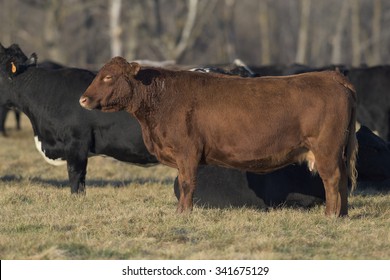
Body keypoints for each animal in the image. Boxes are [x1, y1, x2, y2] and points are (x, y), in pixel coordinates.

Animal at [80, 55, 358, 217]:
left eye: (108, 76)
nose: (83, 99)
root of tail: (331, 75)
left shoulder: (187, 152)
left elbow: (187, 183)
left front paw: (183, 213)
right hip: (336, 152)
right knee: (342, 179)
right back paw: (342, 214)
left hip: (326, 150)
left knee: (332, 180)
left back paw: (330, 215)